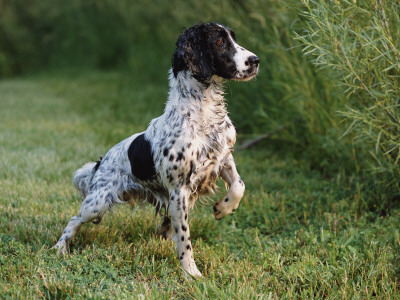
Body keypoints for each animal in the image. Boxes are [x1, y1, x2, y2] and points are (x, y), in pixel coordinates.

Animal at [53, 22, 258, 278]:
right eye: (220, 41)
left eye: (233, 38)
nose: (255, 60)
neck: (204, 116)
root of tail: (101, 162)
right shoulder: (179, 190)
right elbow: (185, 240)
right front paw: (192, 274)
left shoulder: (222, 159)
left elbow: (239, 186)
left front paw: (223, 208)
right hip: (96, 203)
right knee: (73, 220)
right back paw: (60, 248)